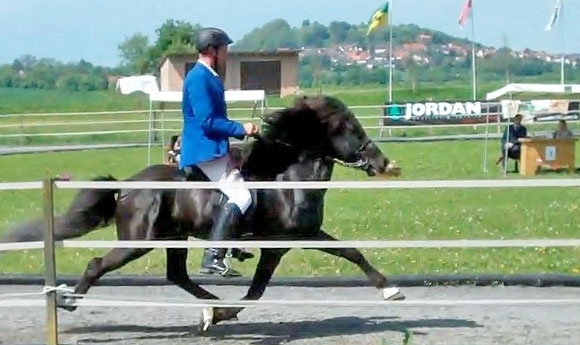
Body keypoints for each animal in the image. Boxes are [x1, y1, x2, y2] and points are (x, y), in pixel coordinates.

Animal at [1, 94, 404, 334]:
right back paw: (68, 301)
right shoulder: (287, 240)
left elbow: (344, 253)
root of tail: (128, 186)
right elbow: (265, 289)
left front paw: (218, 315)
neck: (288, 177)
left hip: (173, 238)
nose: (385, 163)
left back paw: (211, 302)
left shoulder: (286, 243)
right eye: (351, 129)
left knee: (176, 275)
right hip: (137, 241)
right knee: (97, 265)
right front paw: (391, 290)